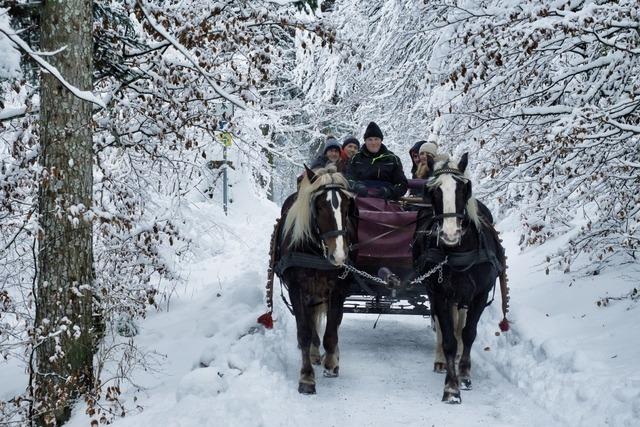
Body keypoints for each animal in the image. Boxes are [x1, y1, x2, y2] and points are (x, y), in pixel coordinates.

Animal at [276, 165, 358, 394]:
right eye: (319, 206)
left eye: (347, 207)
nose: (338, 256)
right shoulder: (296, 289)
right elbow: (304, 332)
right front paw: (306, 377)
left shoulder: (337, 290)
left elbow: (332, 330)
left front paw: (331, 362)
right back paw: (313, 353)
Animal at [412, 154, 508, 404]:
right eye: (433, 190)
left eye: (464, 188)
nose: (449, 234)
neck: (459, 250)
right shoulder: (440, 294)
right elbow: (448, 338)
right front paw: (451, 387)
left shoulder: (479, 294)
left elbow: (468, 332)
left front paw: (464, 374)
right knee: (441, 325)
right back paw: (442, 362)